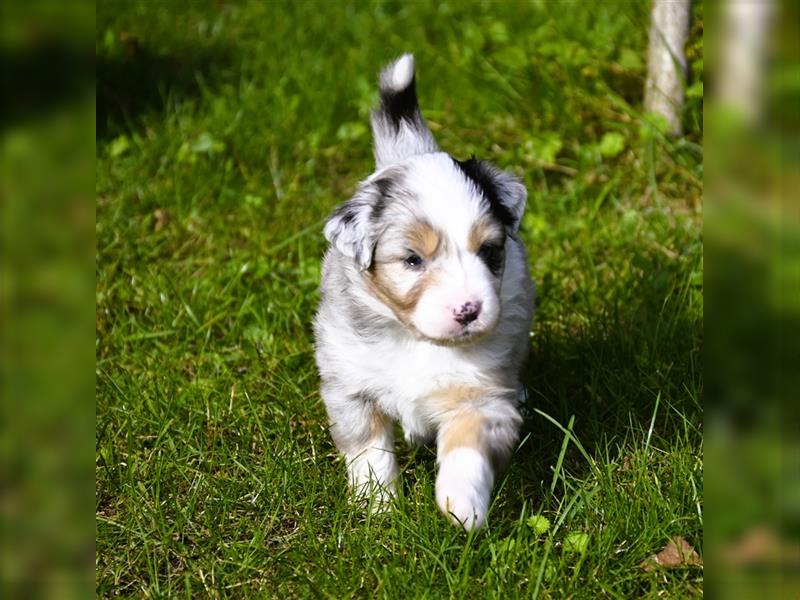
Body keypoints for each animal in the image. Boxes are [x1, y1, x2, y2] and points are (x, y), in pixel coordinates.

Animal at [316, 54, 536, 528]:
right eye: (413, 260)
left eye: (488, 250)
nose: (468, 310)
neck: (418, 339)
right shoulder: (351, 387)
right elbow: (370, 451)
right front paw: (377, 509)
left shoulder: (483, 396)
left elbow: (467, 449)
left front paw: (463, 509)